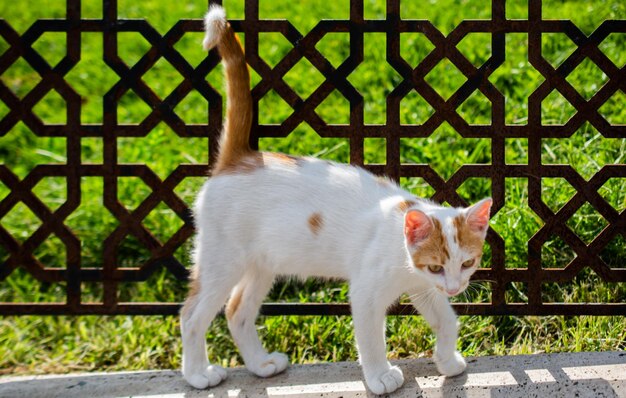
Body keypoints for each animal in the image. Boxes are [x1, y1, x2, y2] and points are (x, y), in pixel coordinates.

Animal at [178, 4, 490, 394]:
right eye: (437, 265)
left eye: (467, 263)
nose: (455, 287)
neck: (402, 250)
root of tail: (238, 159)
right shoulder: (369, 290)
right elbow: (371, 338)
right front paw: (380, 376)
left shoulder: (423, 288)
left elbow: (447, 321)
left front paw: (448, 361)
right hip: (223, 258)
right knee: (192, 314)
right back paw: (197, 373)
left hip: (262, 263)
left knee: (237, 311)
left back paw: (261, 364)